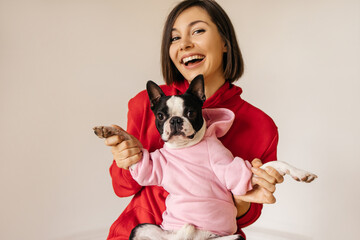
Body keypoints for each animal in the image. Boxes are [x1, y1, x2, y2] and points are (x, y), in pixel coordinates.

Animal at [93, 74, 318, 239]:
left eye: (191, 112)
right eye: (160, 116)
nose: (175, 120)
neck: (187, 148)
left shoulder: (235, 171)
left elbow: (275, 163)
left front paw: (301, 173)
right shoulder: (150, 166)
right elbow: (134, 146)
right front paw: (109, 131)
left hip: (233, 238)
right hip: (141, 228)